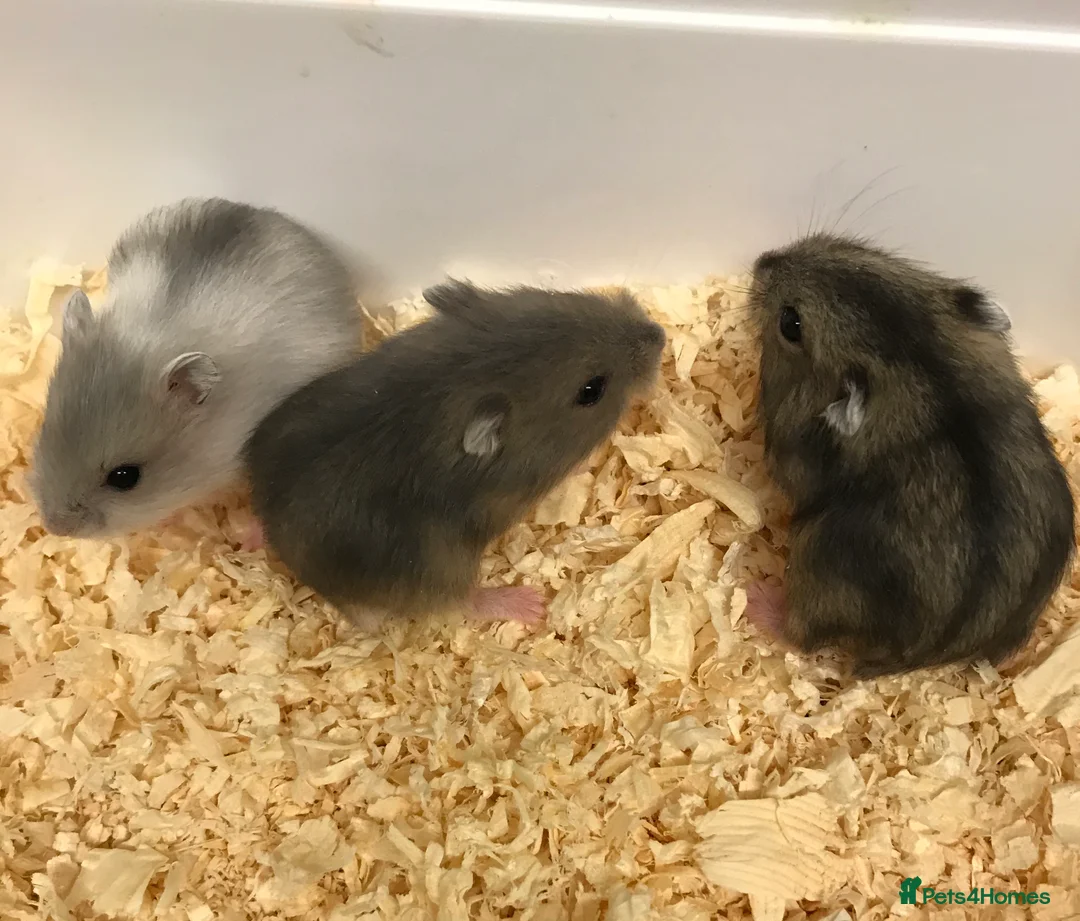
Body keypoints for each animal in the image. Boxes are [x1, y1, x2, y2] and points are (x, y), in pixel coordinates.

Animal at [243, 281, 666, 626]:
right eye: (592, 390)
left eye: (563, 298)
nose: (659, 334)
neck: (462, 375)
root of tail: (294, 560)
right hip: (441, 569)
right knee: (463, 602)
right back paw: (530, 605)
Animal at [745, 233, 1075, 678]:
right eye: (856, 250)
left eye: (791, 324)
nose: (761, 261)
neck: (913, 356)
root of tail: (925, 654)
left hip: (817, 558)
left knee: (802, 634)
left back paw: (755, 596)